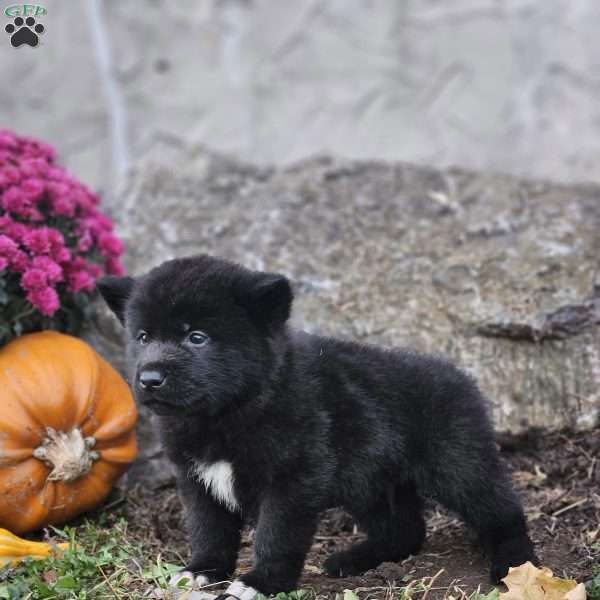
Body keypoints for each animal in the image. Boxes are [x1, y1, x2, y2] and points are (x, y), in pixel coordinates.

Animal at [97, 255, 536, 596]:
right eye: (143, 336)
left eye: (197, 337)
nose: (149, 378)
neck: (228, 414)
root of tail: (461, 377)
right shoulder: (197, 481)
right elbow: (210, 531)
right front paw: (203, 571)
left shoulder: (291, 480)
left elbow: (275, 536)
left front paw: (261, 583)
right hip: (371, 483)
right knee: (405, 530)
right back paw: (355, 558)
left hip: (458, 466)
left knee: (503, 512)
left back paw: (516, 566)